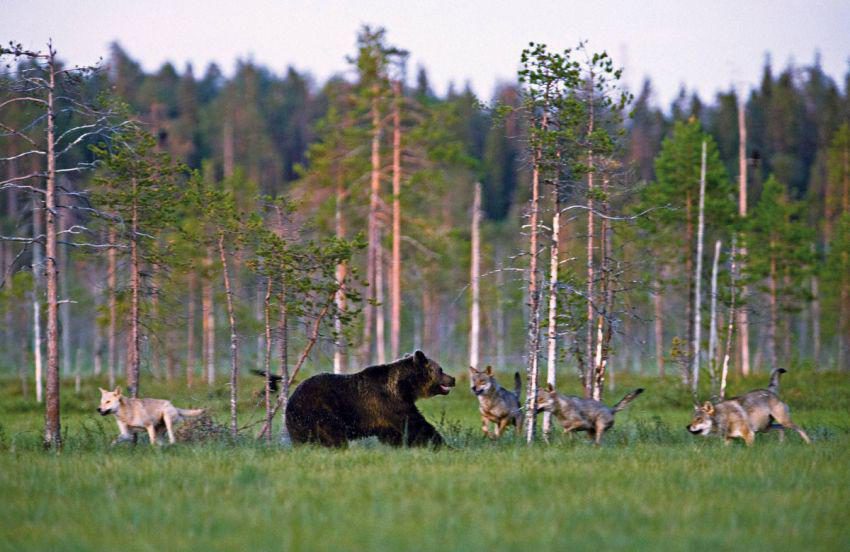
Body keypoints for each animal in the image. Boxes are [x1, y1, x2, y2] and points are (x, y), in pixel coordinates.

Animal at [284, 352, 458, 446]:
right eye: (440, 369)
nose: (453, 379)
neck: (404, 386)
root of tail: (290, 402)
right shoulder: (390, 403)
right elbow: (416, 425)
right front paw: (443, 445)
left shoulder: (384, 417)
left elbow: (395, 433)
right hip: (321, 412)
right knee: (333, 437)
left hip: (300, 425)